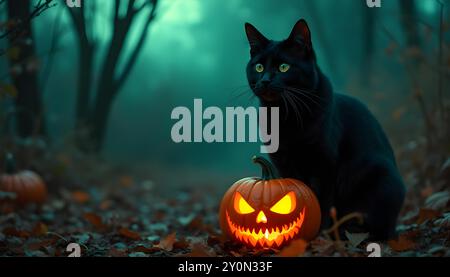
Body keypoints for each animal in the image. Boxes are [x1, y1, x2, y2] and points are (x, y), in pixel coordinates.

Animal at [244, 20, 406, 239]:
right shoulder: (282, 161)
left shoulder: (325, 163)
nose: (265, 80)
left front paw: (319, 234)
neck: (286, 117)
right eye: (259, 66)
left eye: (284, 67)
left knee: (381, 225)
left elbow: (322, 200)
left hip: (383, 179)